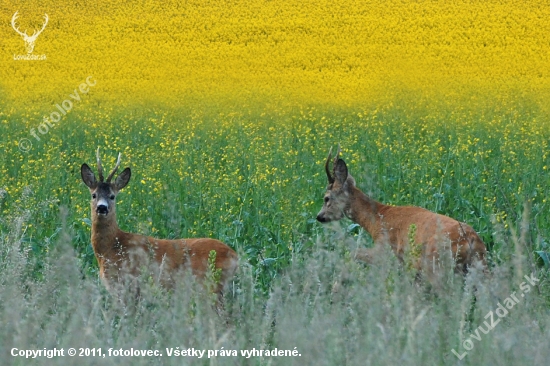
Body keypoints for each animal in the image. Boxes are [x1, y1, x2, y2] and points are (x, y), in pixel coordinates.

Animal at [81, 149, 238, 298]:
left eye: (112, 196)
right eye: (94, 195)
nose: (102, 208)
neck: (111, 248)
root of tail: (235, 256)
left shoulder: (127, 286)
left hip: (211, 286)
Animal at [320, 146, 488, 274]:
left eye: (326, 198)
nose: (319, 216)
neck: (377, 219)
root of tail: (472, 240)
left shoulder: (385, 249)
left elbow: (354, 254)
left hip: (433, 263)